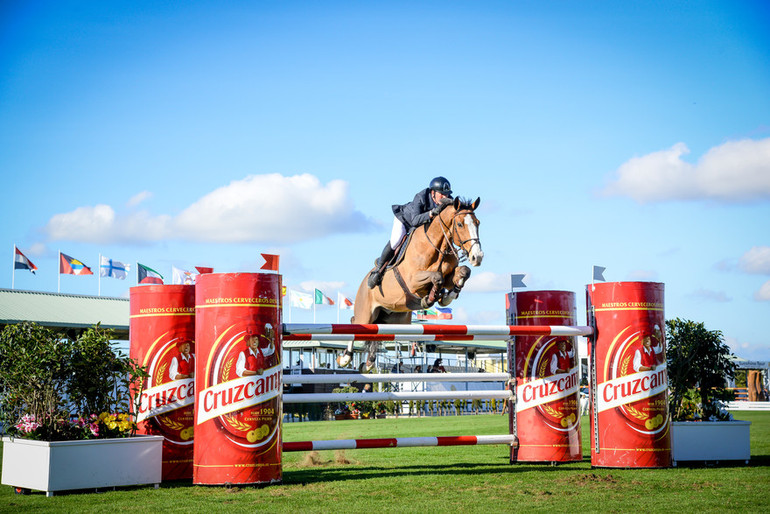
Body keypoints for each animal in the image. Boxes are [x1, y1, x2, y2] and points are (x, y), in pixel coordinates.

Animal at [336, 196, 480, 368]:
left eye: (477, 223)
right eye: (459, 224)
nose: (477, 257)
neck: (436, 246)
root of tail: (363, 284)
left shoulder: (449, 276)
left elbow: (463, 271)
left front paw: (446, 297)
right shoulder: (413, 281)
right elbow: (437, 276)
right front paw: (431, 298)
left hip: (395, 320)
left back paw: (370, 362)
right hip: (366, 313)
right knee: (355, 322)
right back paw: (345, 358)